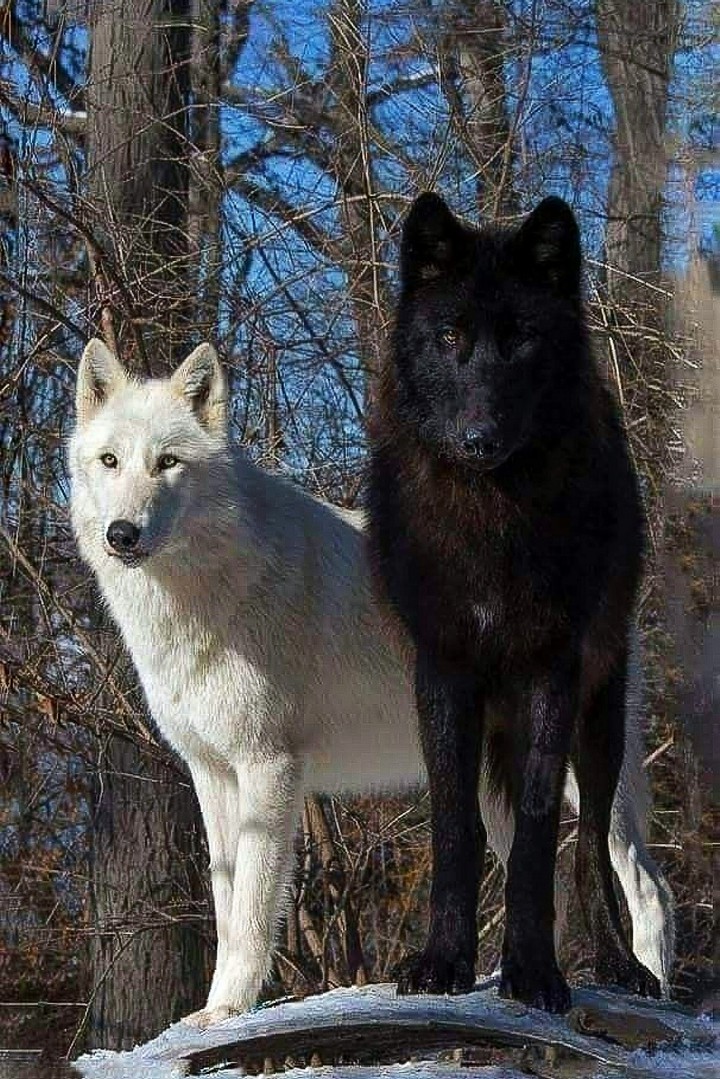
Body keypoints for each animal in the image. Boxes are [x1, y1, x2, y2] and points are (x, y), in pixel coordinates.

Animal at [69, 337, 673, 1027]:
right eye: (110, 461)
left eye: (167, 463)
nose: (122, 534)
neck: (199, 596)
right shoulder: (212, 773)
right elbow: (224, 908)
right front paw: (216, 1012)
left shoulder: (269, 768)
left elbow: (250, 914)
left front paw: (227, 1009)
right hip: (495, 793)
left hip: (582, 772)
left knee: (649, 886)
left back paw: (651, 987)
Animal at [368, 193, 666, 1013]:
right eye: (450, 337)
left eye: (523, 341)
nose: (479, 437)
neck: (491, 515)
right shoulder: (442, 670)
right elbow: (454, 826)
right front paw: (444, 961)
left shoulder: (550, 673)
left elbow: (538, 834)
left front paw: (533, 970)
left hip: (602, 723)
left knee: (591, 846)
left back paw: (622, 966)